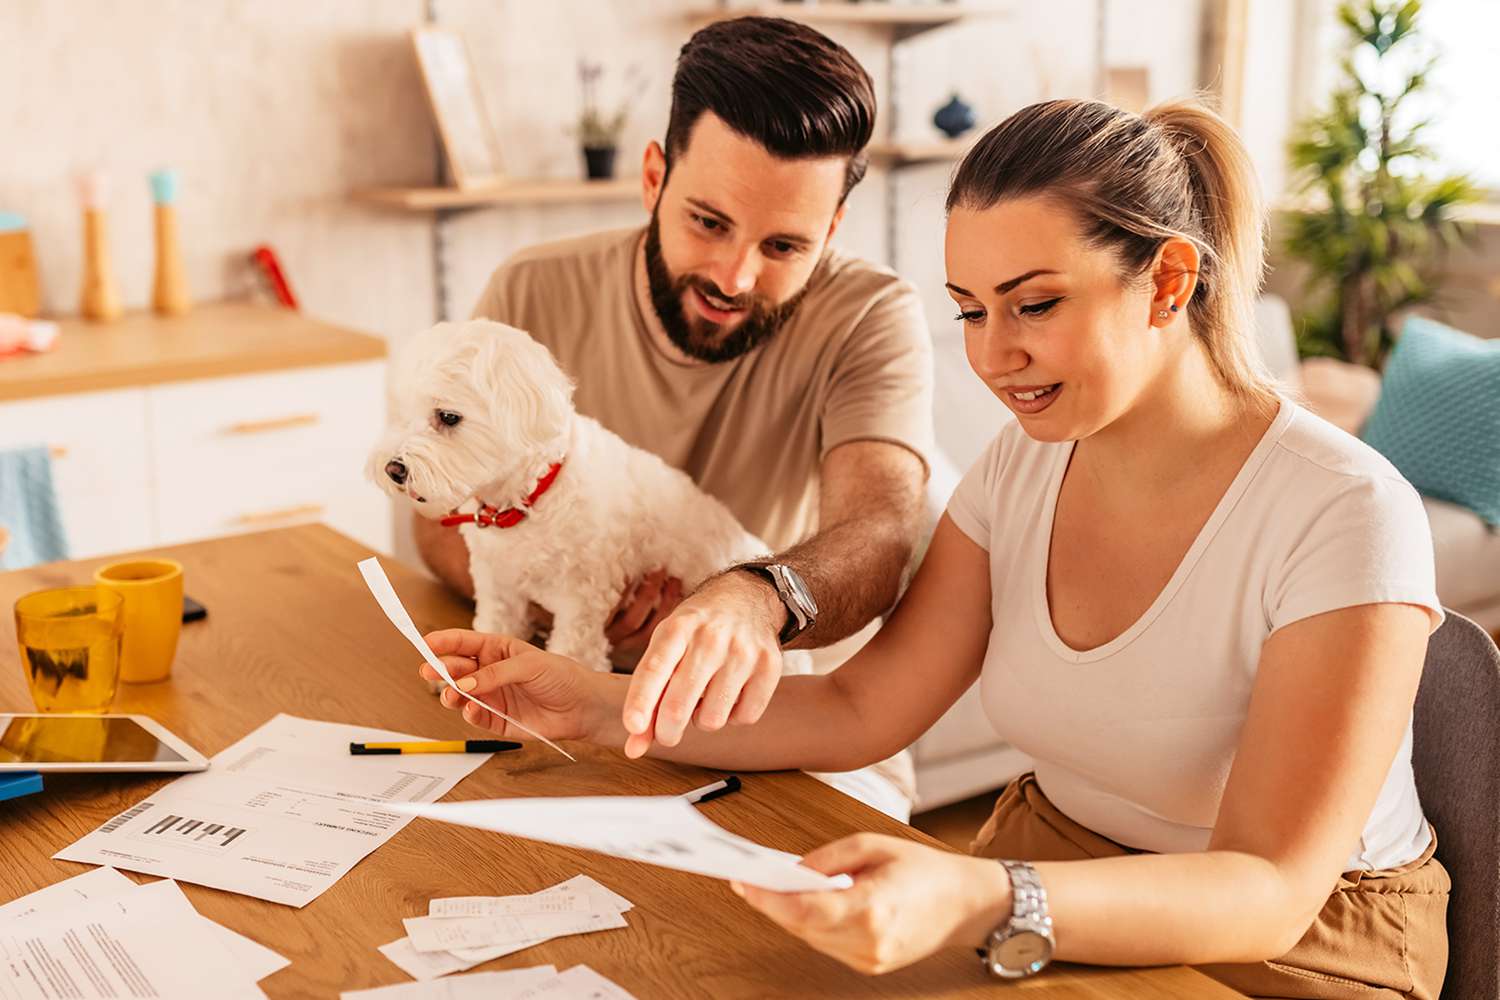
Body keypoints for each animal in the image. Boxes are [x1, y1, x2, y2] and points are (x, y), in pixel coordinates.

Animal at [367, 320, 804, 677]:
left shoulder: (582, 600)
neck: (528, 503)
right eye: (402, 413)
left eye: (448, 417)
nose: (392, 468)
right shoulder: (498, 585)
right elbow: (494, 625)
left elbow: (574, 655)